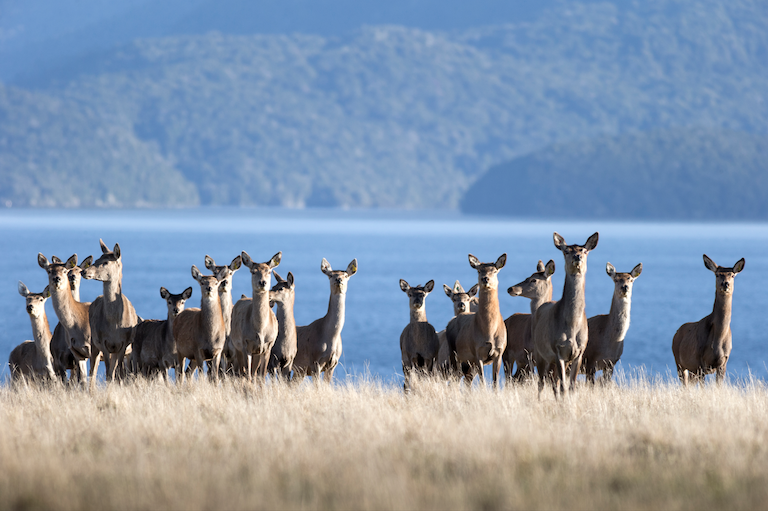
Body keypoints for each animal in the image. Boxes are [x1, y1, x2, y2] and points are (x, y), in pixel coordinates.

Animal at [82, 240, 140, 386]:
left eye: (106, 262)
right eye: (96, 259)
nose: (84, 271)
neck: (114, 324)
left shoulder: (123, 343)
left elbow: (118, 373)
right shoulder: (103, 342)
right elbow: (108, 373)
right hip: (93, 342)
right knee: (93, 371)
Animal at [230, 251, 282, 382]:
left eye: (269, 271)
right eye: (253, 271)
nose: (262, 282)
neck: (260, 330)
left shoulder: (268, 346)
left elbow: (261, 376)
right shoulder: (245, 344)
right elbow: (247, 374)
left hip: (256, 353)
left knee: (253, 373)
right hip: (236, 344)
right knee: (240, 372)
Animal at [445, 254, 507, 388]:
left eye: (495, 271)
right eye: (479, 270)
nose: (485, 279)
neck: (489, 332)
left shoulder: (499, 352)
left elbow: (495, 383)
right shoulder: (477, 352)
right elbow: (483, 382)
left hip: (468, 363)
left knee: (466, 381)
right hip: (454, 353)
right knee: (454, 379)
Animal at [533, 232, 598, 399]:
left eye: (584, 251)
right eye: (566, 251)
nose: (577, 256)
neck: (572, 326)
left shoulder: (579, 352)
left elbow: (571, 387)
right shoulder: (558, 349)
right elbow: (563, 387)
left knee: (553, 382)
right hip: (540, 352)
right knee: (541, 382)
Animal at [672, 255, 744, 386]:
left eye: (732, 275)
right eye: (717, 275)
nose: (725, 284)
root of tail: (676, 333)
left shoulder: (724, 361)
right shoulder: (700, 360)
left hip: (692, 370)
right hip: (679, 361)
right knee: (684, 384)